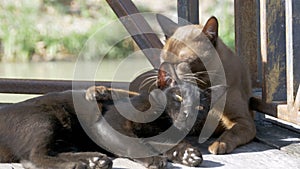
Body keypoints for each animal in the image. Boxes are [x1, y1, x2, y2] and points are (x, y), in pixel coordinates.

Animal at [156, 14, 256, 154]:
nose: (167, 74)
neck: (204, 83)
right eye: (164, 60)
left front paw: (218, 145)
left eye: (183, 61)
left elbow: (231, 132)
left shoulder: (243, 120)